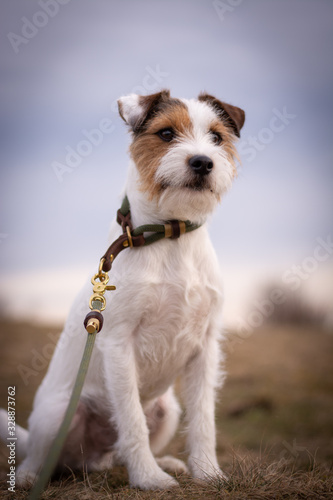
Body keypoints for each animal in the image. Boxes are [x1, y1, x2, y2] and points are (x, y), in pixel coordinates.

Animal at [0, 89, 244, 488]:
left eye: (216, 137)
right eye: (166, 134)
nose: (203, 162)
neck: (171, 236)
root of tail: (92, 457)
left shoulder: (206, 347)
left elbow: (204, 421)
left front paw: (207, 472)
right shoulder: (118, 343)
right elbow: (131, 421)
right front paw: (149, 479)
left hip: (167, 408)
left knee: (113, 453)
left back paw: (166, 462)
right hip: (58, 415)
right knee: (41, 457)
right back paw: (30, 478)